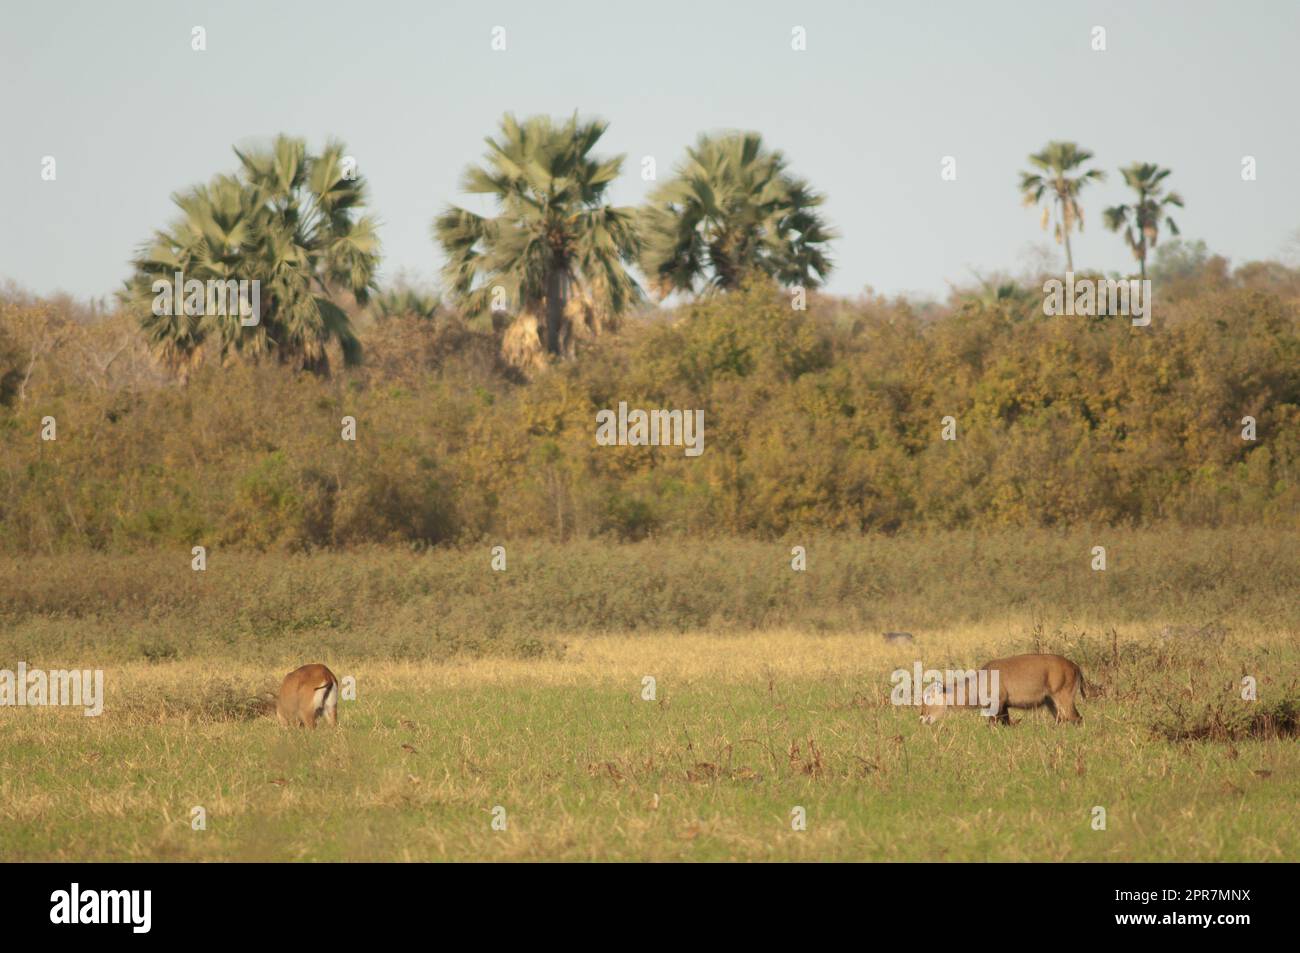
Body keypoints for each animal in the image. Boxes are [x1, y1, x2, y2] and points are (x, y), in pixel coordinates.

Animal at [920, 650, 1092, 722]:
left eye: (928, 697)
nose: (922, 718)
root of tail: (1075, 667)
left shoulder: (998, 705)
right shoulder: (1003, 707)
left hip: (1063, 698)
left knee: (1076, 718)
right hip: (1050, 701)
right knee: (1062, 720)